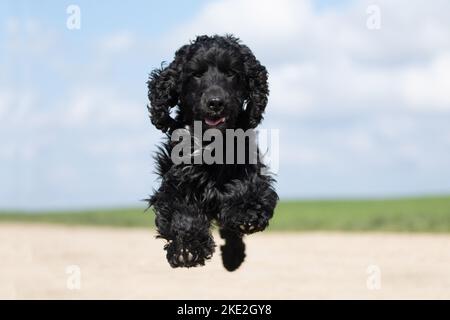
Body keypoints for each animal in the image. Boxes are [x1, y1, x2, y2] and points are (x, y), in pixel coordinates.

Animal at [146, 34, 278, 270]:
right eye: (196, 74)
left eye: (231, 73)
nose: (216, 103)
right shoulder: (174, 183)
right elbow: (182, 211)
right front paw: (186, 248)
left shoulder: (251, 170)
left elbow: (248, 188)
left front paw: (246, 211)